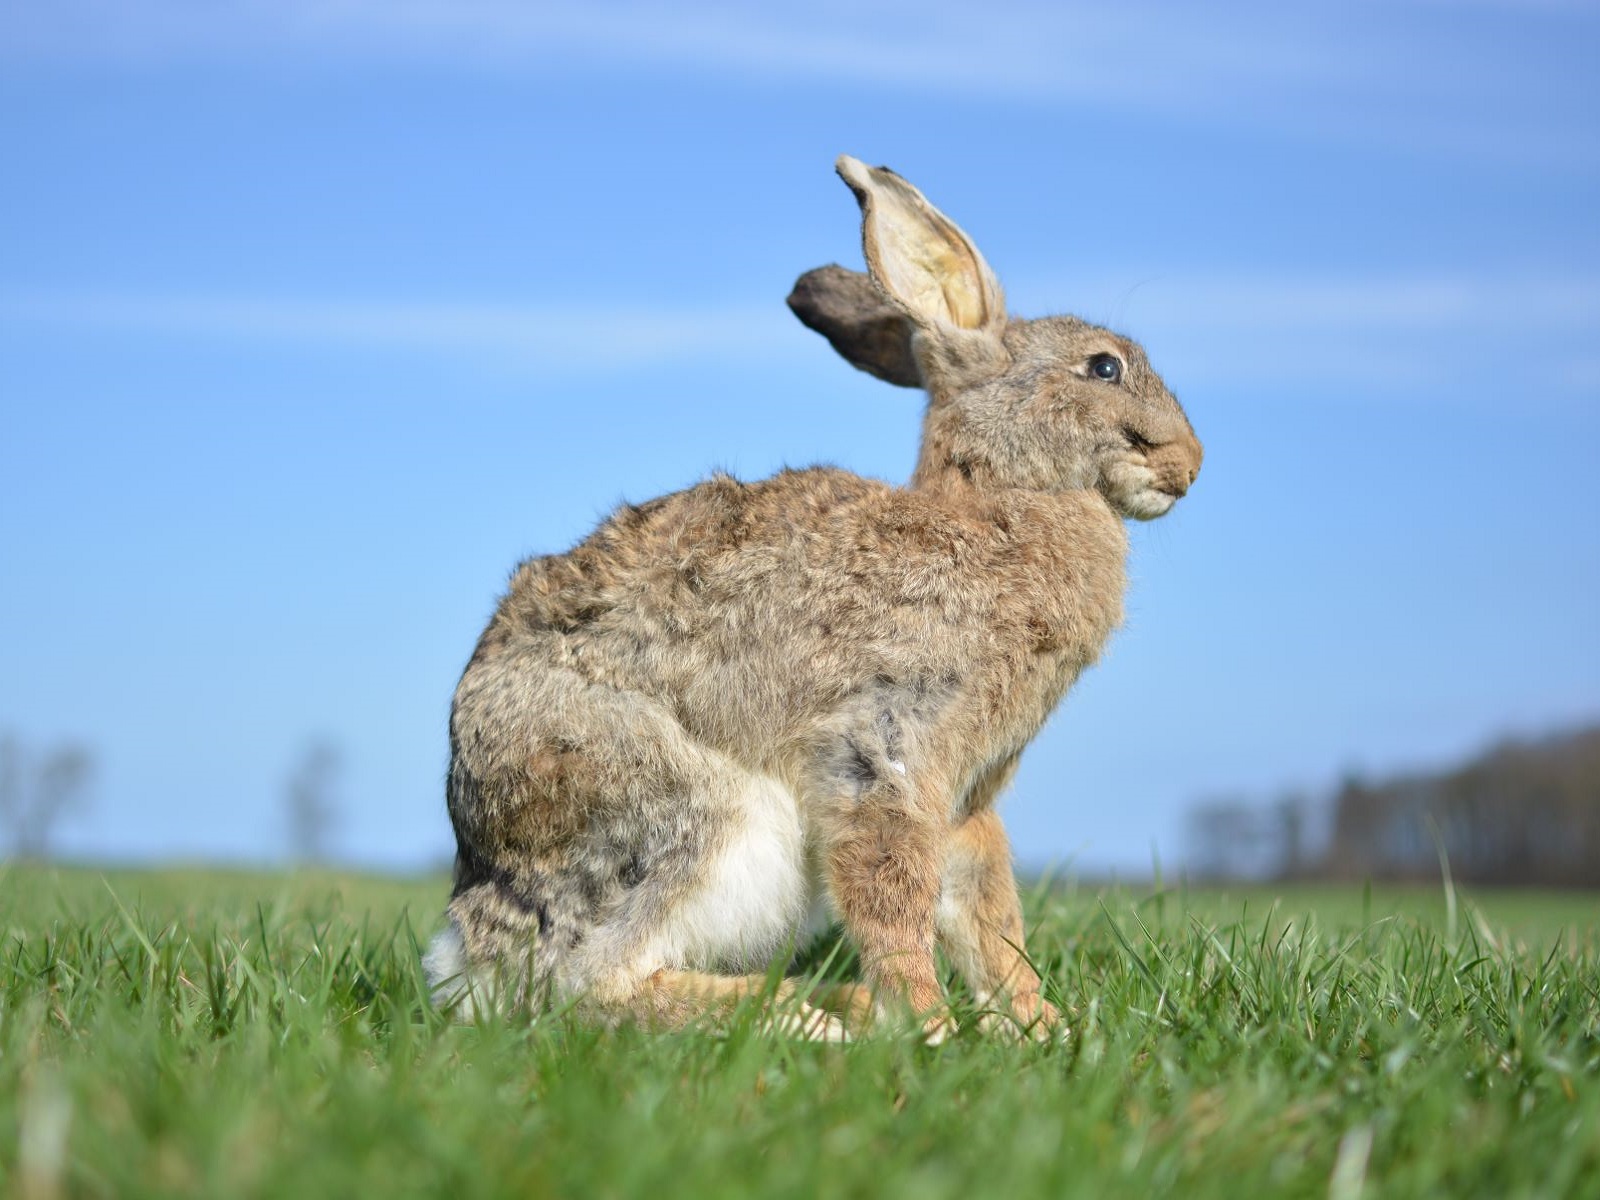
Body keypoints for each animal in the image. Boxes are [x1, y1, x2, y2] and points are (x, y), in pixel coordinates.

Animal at [424, 155, 1203, 1042]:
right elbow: (893, 894)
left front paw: (1041, 1027)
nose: (1190, 465)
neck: (1000, 505)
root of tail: (470, 944)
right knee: (594, 980)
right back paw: (818, 1018)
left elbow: (987, 911)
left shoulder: (969, 795)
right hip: (680, 812)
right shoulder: (881, 745)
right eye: (1104, 366)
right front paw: (929, 1025)